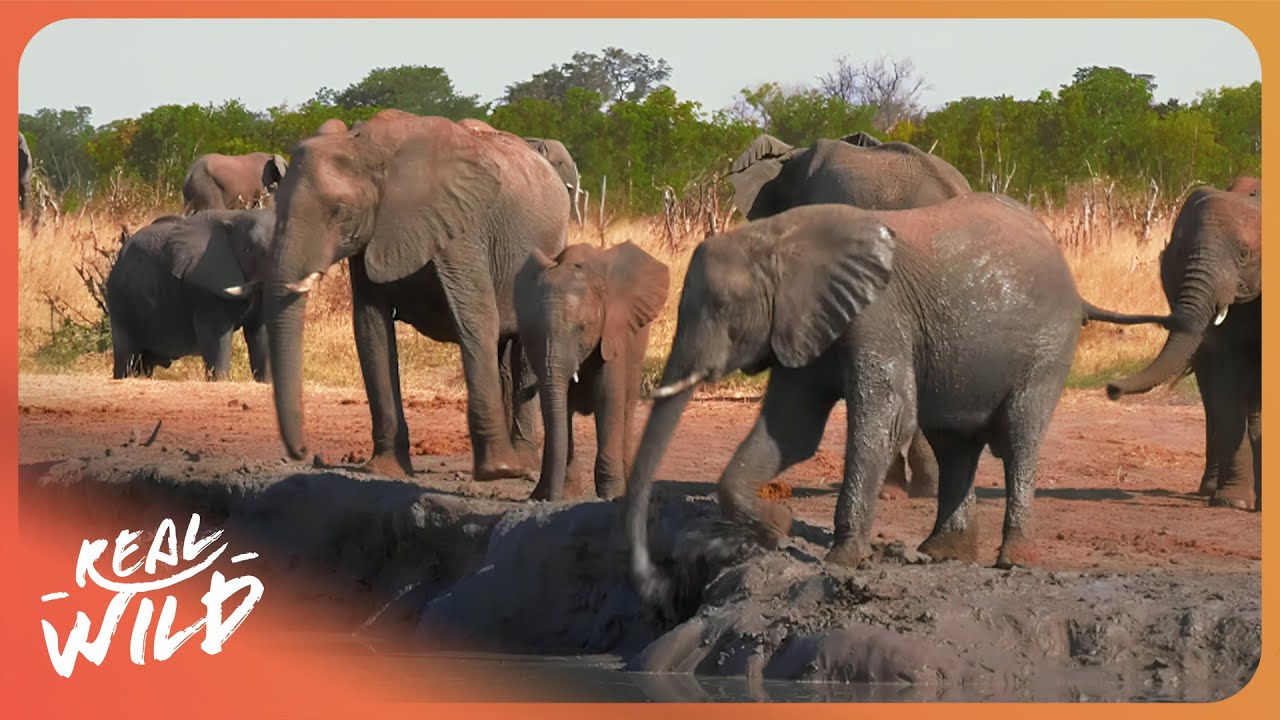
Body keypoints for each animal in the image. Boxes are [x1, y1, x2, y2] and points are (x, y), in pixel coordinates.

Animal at [105, 209, 276, 382]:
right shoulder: (203, 286)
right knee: (127, 358)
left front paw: (266, 382)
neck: (235, 216)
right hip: (120, 302)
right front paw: (219, 381)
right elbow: (216, 338)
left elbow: (262, 335)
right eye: (251, 251)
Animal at [266, 109, 570, 481]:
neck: (369, 148)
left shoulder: (460, 225)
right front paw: (385, 469)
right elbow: (371, 329)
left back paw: (522, 465)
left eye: (339, 210)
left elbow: (475, 317)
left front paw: (496, 471)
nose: (305, 452)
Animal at [514, 241, 670, 502]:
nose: (546, 499)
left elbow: (608, 399)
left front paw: (611, 495)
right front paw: (562, 494)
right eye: (534, 331)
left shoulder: (613, 332)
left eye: (582, 328)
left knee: (626, 408)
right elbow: (558, 405)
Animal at [623, 197, 1172, 609]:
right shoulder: (806, 320)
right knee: (955, 444)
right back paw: (942, 552)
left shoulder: (877, 312)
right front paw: (777, 527)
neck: (776, 238)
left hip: (1048, 347)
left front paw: (840, 560)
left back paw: (1011, 559)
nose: (653, 583)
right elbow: (791, 429)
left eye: (724, 309)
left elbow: (882, 419)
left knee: (1019, 438)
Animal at [1106, 182, 1261, 511]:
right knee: (1213, 402)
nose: (1111, 389)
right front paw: (1232, 502)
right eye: (1180, 253)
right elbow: (1229, 392)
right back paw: (1211, 489)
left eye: (1244, 254)